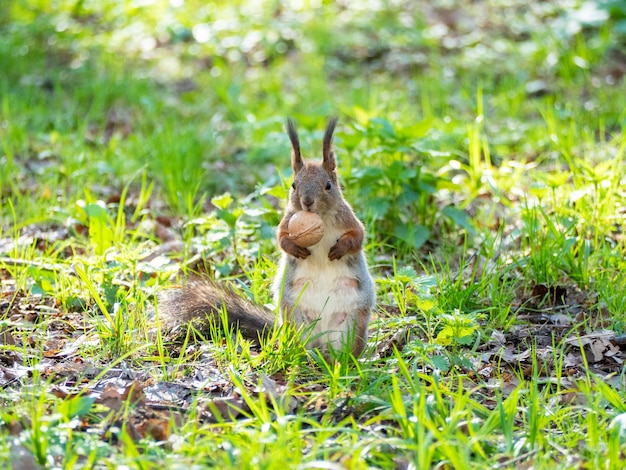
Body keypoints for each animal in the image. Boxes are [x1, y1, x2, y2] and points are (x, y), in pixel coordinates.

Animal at [156, 117, 372, 356]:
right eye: (294, 184)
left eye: (328, 185)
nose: (307, 201)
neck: (320, 218)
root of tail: (322, 345)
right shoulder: (288, 220)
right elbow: (281, 238)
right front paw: (295, 248)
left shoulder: (347, 219)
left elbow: (358, 237)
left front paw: (340, 249)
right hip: (296, 319)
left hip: (352, 323)